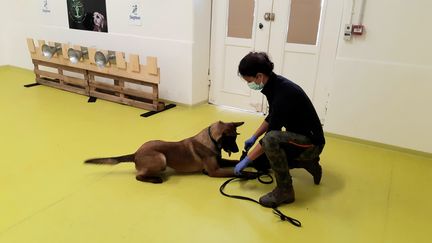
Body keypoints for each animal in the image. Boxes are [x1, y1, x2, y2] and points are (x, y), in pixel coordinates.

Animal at [85, 120, 243, 183]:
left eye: (236, 137)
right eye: (231, 139)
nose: (238, 149)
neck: (211, 139)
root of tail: (136, 153)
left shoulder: (219, 162)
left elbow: (234, 162)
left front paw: (243, 161)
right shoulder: (214, 171)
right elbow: (233, 171)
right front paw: (247, 174)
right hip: (161, 158)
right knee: (138, 176)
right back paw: (155, 179)